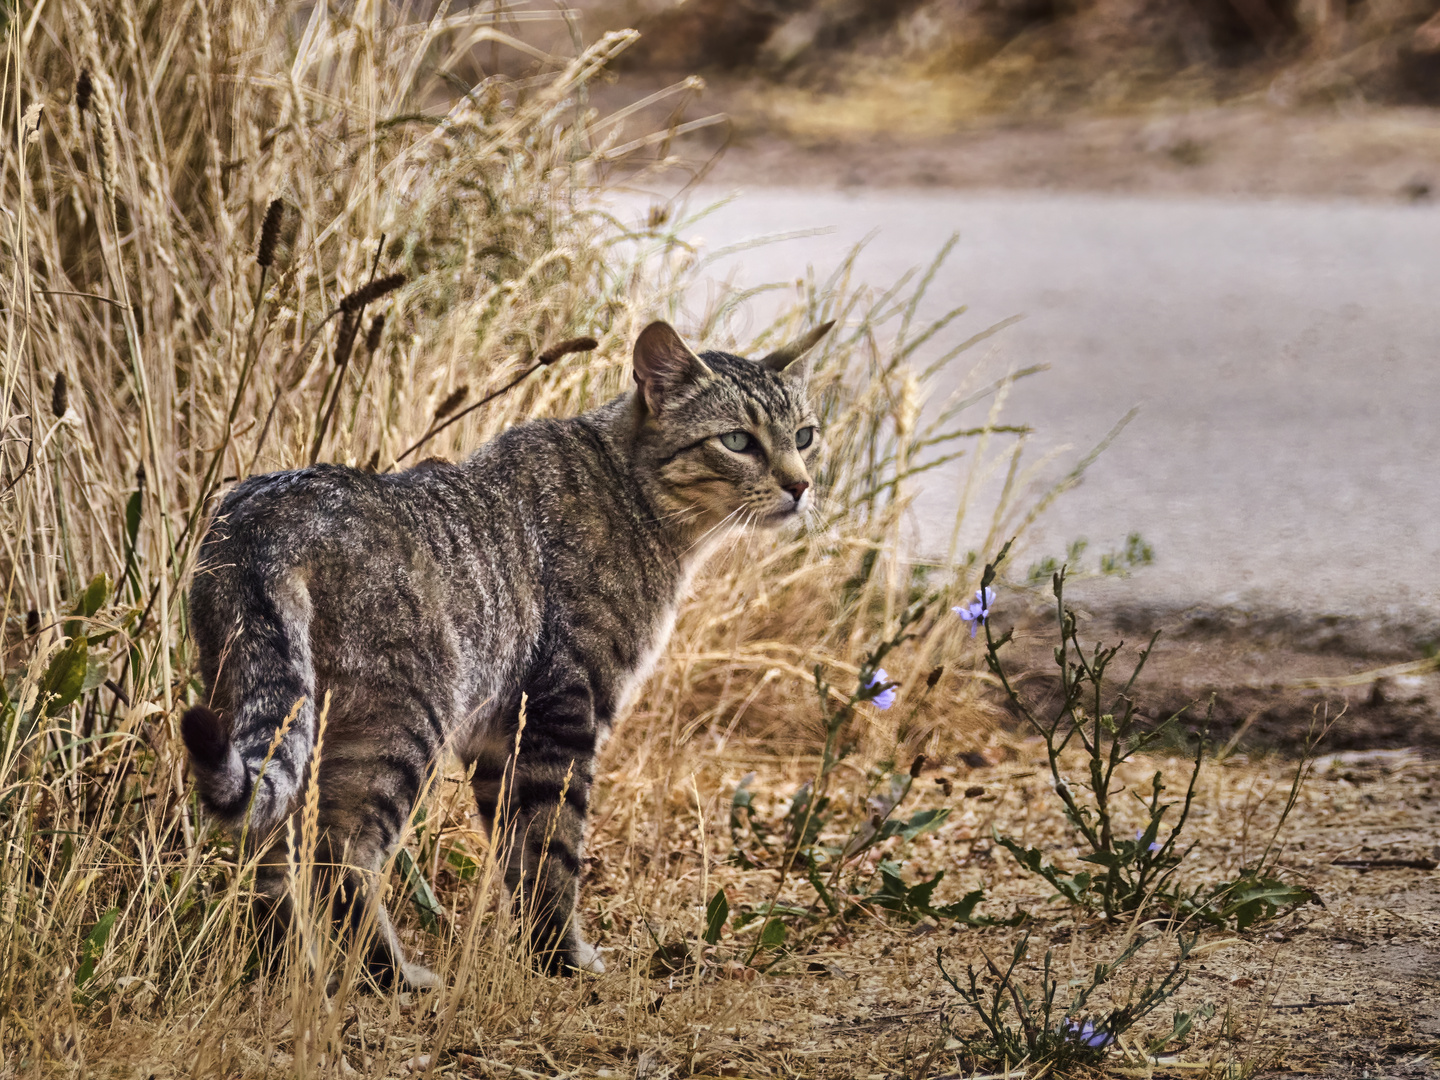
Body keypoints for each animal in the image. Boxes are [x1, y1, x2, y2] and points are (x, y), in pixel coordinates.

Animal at [180, 316, 835, 984]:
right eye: (737, 440)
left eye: (805, 436)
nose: (801, 485)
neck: (636, 496)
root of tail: (262, 519)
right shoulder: (564, 711)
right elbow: (556, 849)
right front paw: (564, 957)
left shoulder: (499, 737)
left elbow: (519, 854)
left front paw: (541, 951)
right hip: (401, 722)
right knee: (338, 851)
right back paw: (388, 975)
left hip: (263, 699)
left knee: (269, 849)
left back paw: (288, 968)